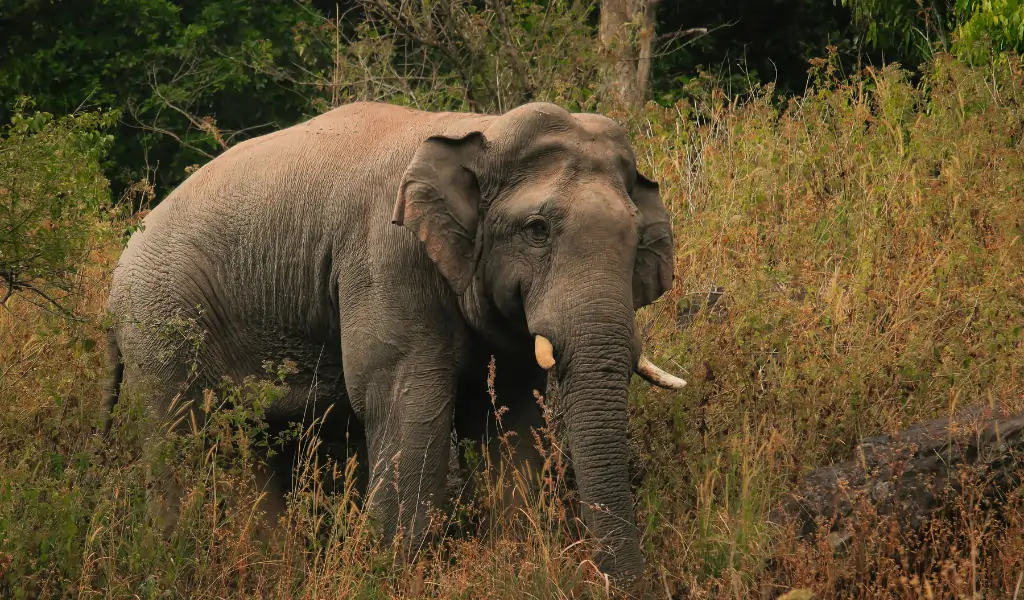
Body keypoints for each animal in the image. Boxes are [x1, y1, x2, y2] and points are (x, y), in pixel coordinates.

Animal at [102, 100, 686, 584]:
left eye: (636, 237)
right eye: (537, 229)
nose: (621, 585)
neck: (481, 130)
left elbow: (510, 415)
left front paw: (514, 566)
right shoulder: (388, 259)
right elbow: (408, 403)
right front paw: (388, 573)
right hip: (160, 318)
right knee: (181, 437)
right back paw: (174, 562)